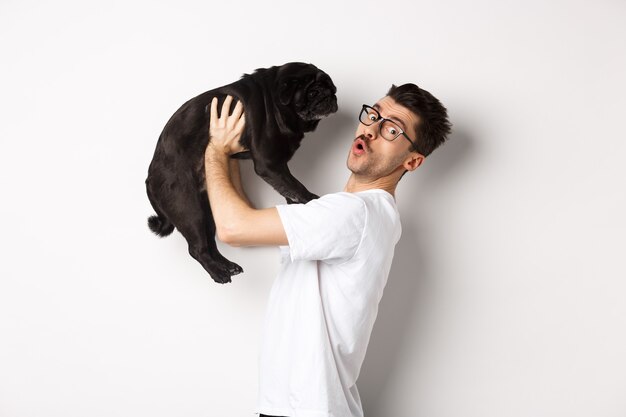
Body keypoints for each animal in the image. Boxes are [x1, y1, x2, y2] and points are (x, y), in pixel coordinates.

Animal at [144, 61, 336, 282]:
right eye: (312, 92)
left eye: (332, 88)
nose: (329, 95)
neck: (275, 100)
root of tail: (150, 177)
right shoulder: (269, 163)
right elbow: (295, 185)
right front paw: (313, 200)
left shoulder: (277, 167)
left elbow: (288, 187)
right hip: (188, 209)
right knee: (197, 248)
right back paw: (218, 273)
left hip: (207, 211)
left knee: (210, 242)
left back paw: (227, 266)